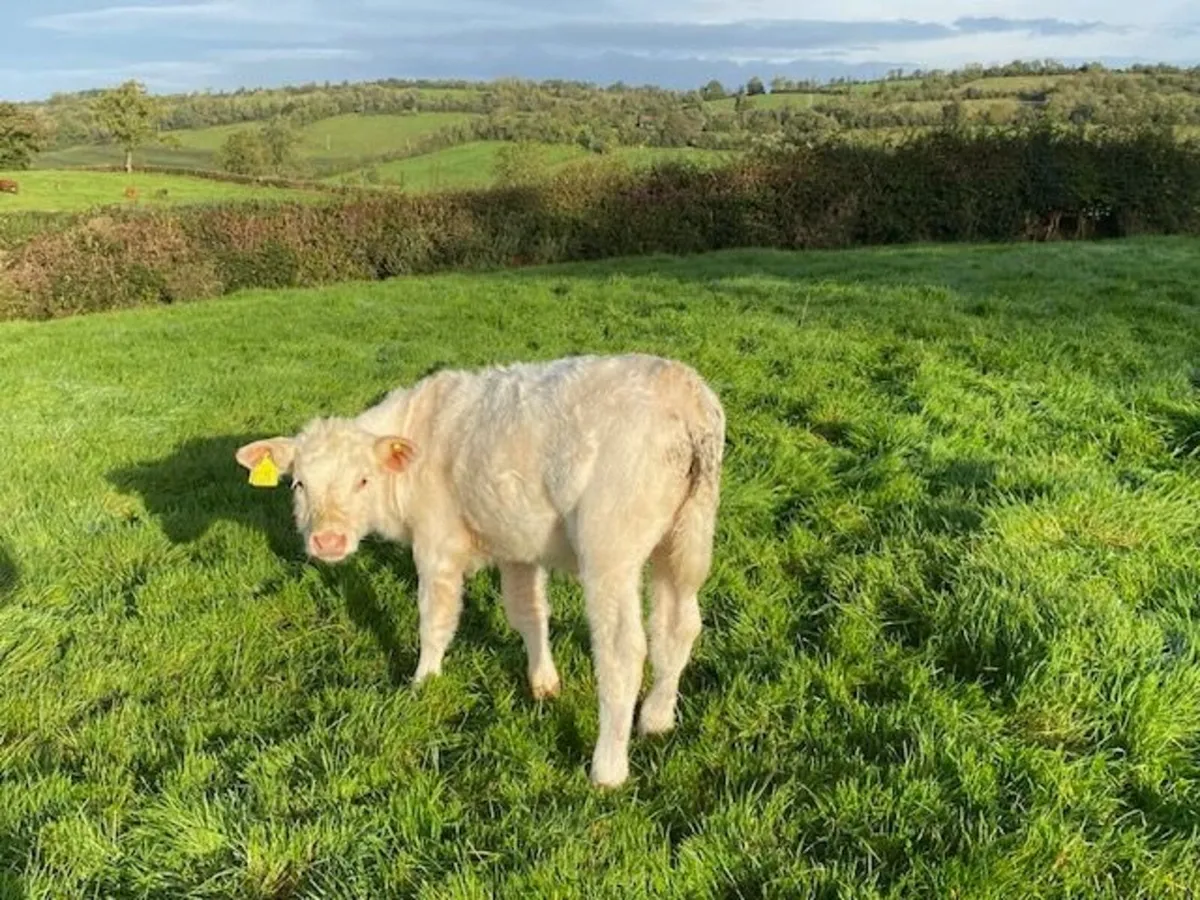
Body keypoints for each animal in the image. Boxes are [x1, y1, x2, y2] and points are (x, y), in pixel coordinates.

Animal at [236, 353, 725, 788]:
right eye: (300, 484)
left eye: (362, 480)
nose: (328, 542)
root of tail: (682, 389)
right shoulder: (516, 544)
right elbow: (529, 614)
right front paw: (543, 683)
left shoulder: (436, 544)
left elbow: (434, 620)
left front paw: (423, 681)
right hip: (680, 541)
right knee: (678, 626)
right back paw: (657, 719)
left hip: (611, 551)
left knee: (623, 651)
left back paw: (607, 769)